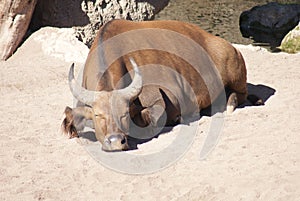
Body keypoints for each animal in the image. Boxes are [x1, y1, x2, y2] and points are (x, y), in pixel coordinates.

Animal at [61, 19, 253, 152]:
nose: (116, 141)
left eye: (124, 114)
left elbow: (151, 118)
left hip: (235, 73)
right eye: (98, 115)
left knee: (240, 94)